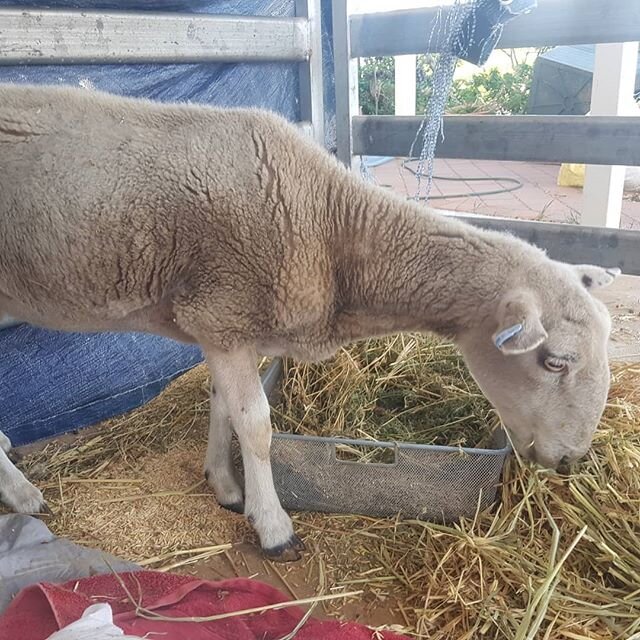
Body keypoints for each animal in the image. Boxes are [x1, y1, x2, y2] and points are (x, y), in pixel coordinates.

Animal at [0, 84, 620, 560]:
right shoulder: (222, 310)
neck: (331, 225)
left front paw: (225, 486)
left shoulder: (224, 324)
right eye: (554, 361)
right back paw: (25, 495)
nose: (572, 462)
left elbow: (221, 406)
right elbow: (256, 425)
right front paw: (273, 526)